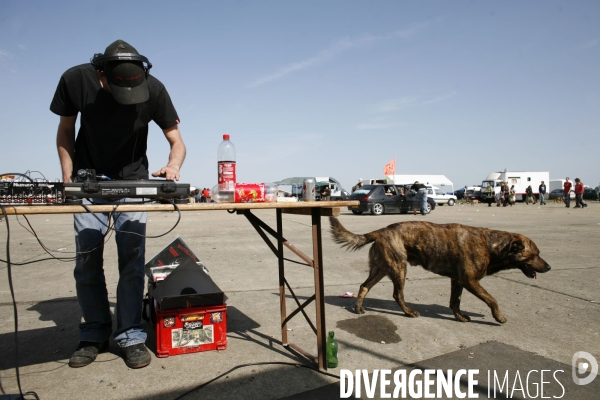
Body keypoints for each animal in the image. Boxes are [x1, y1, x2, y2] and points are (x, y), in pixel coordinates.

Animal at [330, 217, 552, 324]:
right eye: (535, 254)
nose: (549, 267)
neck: (491, 245)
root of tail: (380, 231)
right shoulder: (470, 280)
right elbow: (492, 299)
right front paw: (499, 317)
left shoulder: (458, 281)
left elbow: (455, 302)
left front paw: (459, 317)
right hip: (399, 269)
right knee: (397, 294)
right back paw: (408, 312)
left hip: (381, 269)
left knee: (364, 286)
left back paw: (358, 307)